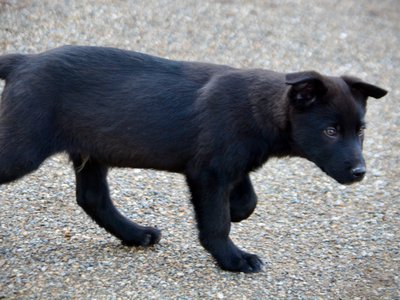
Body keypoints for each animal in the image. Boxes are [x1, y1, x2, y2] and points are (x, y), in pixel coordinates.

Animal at [0, 46, 388, 272]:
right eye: (330, 131)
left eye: (360, 131)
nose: (360, 172)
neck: (261, 109)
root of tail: (24, 62)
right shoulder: (209, 173)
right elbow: (217, 223)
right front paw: (233, 259)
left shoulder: (228, 164)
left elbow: (248, 198)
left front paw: (237, 210)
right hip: (23, 147)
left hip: (92, 148)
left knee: (92, 198)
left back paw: (135, 234)